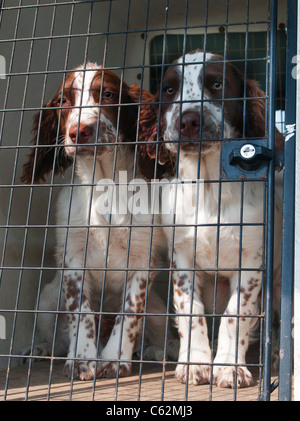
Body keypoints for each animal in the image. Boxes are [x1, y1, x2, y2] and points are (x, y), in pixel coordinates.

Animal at [21, 63, 172, 380]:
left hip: (159, 312)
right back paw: (40, 349)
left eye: (108, 95)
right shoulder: (72, 257)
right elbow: (82, 312)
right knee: (54, 338)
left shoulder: (144, 260)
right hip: (47, 300)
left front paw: (114, 359)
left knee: (162, 335)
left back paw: (158, 352)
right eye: (64, 101)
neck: (105, 186)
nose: (79, 131)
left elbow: (130, 313)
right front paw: (82, 358)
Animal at [138, 50, 284, 388]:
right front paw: (195, 363)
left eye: (217, 84)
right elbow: (191, 312)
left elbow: (235, 315)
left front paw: (230, 367)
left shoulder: (251, 262)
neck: (208, 188)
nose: (189, 121)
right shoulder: (182, 259)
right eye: (170, 90)